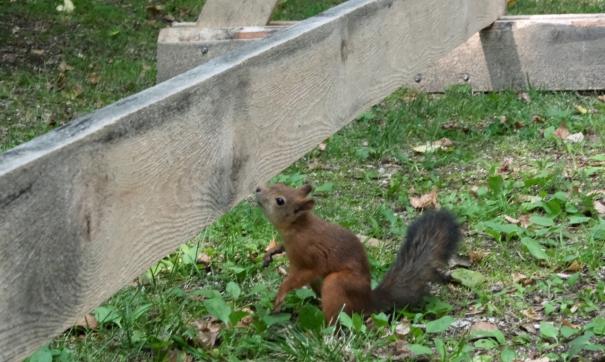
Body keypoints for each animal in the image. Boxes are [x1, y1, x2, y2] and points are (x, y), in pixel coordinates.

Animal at [254, 184, 458, 322]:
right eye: (278, 184)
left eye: (280, 200)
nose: (257, 190)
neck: (297, 228)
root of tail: (368, 301)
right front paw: (271, 253)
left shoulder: (312, 257)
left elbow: (302, 274)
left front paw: (281, 295)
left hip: (337, 284)